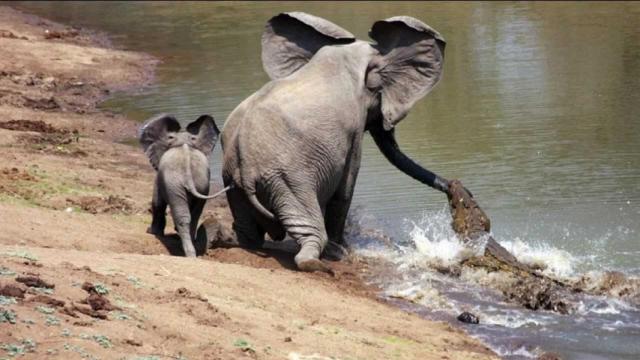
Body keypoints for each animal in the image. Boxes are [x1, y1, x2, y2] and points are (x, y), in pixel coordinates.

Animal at [139, 114, 221, 258]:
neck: (183, 141)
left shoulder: (160, 176)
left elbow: (157, 202)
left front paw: (151, 232)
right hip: (202, 184)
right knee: (195, 215)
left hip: (174, 183)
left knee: (182, 216)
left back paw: (189, 253)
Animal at [220, 13, 450, 272]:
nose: (455, 189)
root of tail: (245, 162)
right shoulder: (353, 129)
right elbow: (345, 189)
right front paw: (343, 250)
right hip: (287, 178)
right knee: (311, 231)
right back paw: (318, 262)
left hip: (233, 179)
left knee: (246, 229)